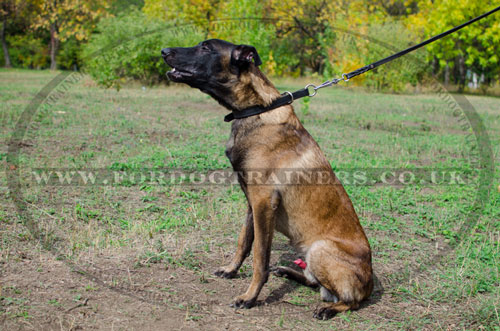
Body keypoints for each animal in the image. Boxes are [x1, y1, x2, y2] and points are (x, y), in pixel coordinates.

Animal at [162, 39, 374, 322]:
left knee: (350, 300)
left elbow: (260, 257)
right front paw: (230, 270)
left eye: (206, 48)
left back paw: (329, 308)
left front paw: (249, 297)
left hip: (320, 249)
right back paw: (288, 272)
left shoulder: (263, 202)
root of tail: (370, 283)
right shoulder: (252, 203)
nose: (164, 51)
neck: (256, 110)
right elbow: (243, 242)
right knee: (313, 281)